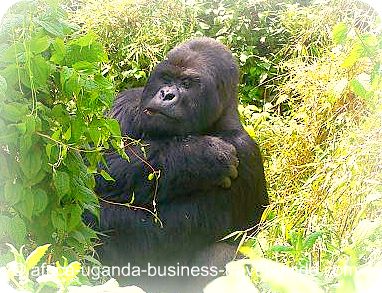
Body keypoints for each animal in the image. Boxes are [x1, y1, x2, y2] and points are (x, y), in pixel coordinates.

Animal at [95, 37, 268, 290]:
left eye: (186, 84)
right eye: (166, 79)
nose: (166, 94)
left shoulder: (246, 152)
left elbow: (170, 228)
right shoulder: (125, 103)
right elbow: (95, 166)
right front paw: (203, 157)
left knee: (219, 253)